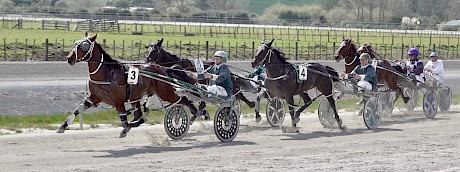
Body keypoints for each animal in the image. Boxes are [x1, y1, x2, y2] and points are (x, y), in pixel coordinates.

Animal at [58, 33, 198, 138]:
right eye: (75, 44)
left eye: (84, 46)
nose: (69, 58)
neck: (106, 74)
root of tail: (162, 69)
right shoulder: (93, 98)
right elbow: (77, 110)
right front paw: (62, 126)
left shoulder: (118, 101)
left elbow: (124, 121)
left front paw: (125, 129)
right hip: (136, 97)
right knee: (139, 115)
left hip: (165, 92)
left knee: (183, 99)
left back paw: (197, 112)